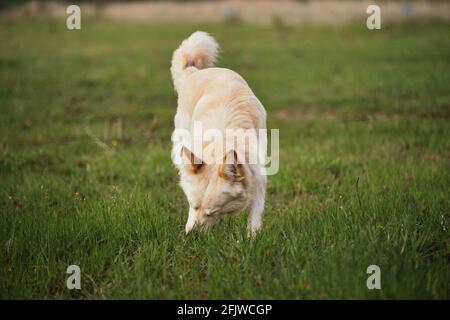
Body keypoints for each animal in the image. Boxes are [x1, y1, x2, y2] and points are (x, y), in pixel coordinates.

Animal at [171, 30, 266, 235]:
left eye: (211, 212)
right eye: (193, 205)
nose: (191, 237)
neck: (223, 141)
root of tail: (195, 71)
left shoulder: (258, 177)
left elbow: (255, 214)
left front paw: (251, 237)